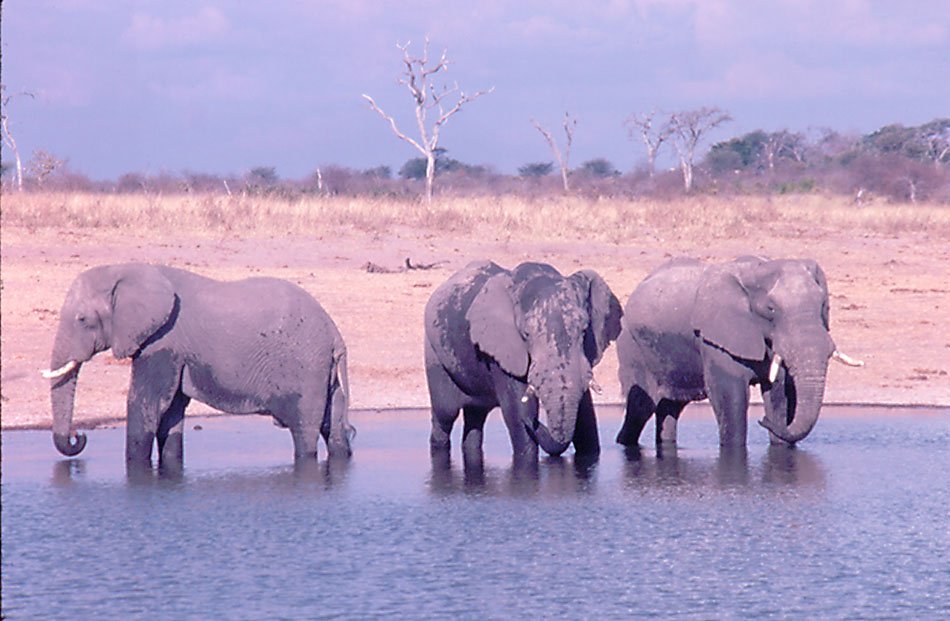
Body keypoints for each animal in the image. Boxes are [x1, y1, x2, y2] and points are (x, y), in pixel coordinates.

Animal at [43, 263, 354, 469]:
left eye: (82, 320)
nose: (78, 436)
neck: (128, 268)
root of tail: (335, 335)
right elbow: (171, 409)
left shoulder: (163, 340)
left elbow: (147, 402)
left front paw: (136, 469)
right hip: (325, 372)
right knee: (334, 429)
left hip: (307, 368)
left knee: (304, 433)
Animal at [424, 260, 623, 465]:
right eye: (526, 334)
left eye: (584, 330)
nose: (533, 419)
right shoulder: (503, 351)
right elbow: (514, 412)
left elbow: (586, 420)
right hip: (434, 355)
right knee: (445, 415)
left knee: (475, 417)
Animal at [615, 256, 862, 448]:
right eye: (771, 309)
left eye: (823, 306)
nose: (762, 420)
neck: (758, 270)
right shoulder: (716, 338)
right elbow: (730, 395)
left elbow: (780, 393)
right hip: (631, 346)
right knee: (640, 409)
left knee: (670, 407)